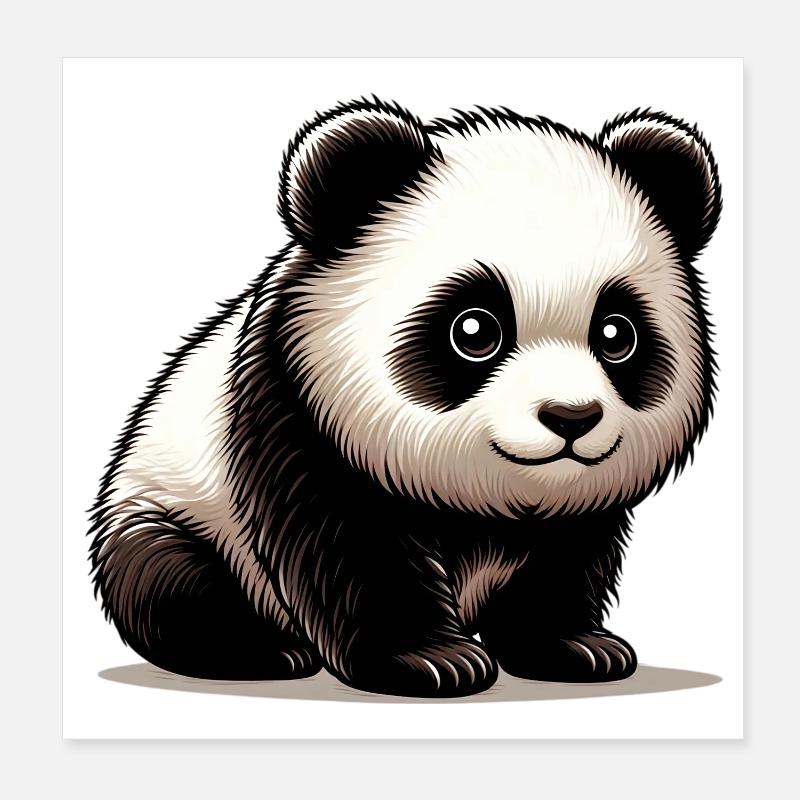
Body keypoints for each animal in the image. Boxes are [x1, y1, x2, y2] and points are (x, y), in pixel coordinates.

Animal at [89, 97, 721, 698]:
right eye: (475, 329)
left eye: (616, 334)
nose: (572, 417)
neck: (490, 500)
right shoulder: (298, 418)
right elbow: (350, 550)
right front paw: (431, 659)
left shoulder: (576, 510)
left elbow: (565, 559)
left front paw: (576, 646)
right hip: (174, 508)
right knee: (170, 580)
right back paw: (260, 650)